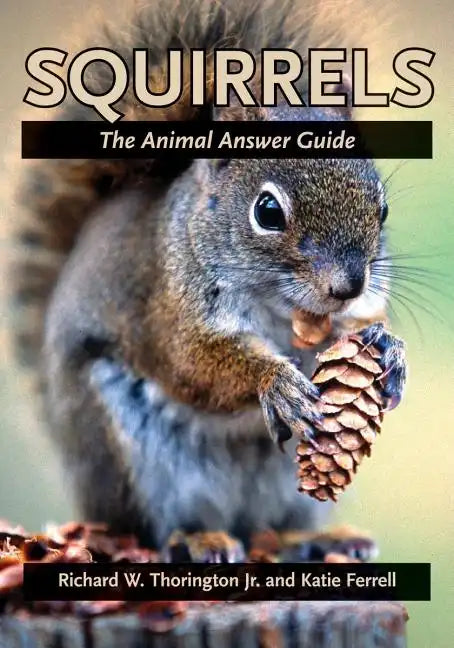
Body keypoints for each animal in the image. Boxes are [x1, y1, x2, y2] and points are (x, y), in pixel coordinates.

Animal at [10, 0, 406, 557]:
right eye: (267, 211)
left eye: (382, 208)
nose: (348, 285)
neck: (280, 310)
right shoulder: (169, 309)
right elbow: (193, 363)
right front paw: (275, 380)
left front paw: (386, 346)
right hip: (132, 458)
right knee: (155, 527)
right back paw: (199, 539)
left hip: (287, 490)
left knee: (279, 525)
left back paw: (321, 537)